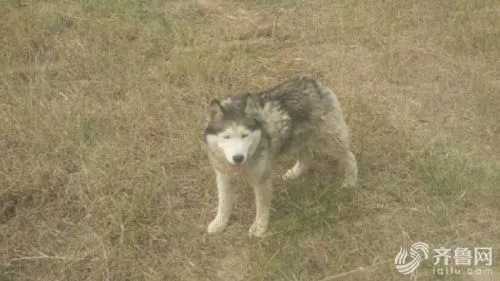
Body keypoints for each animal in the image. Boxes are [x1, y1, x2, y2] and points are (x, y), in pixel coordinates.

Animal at [201, 75, 358, 235]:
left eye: (245, 135)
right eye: (226, 137)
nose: (238, 158)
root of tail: (312, 81)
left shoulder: (261, 181)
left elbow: (262, 208)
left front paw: (260, 227)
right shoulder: (224, 177)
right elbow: (223, 204)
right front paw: (219, 223)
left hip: (329, 141)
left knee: (349, 157)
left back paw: (350, 181)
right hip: (297, 139)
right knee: (307, 156)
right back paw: (295, 173)